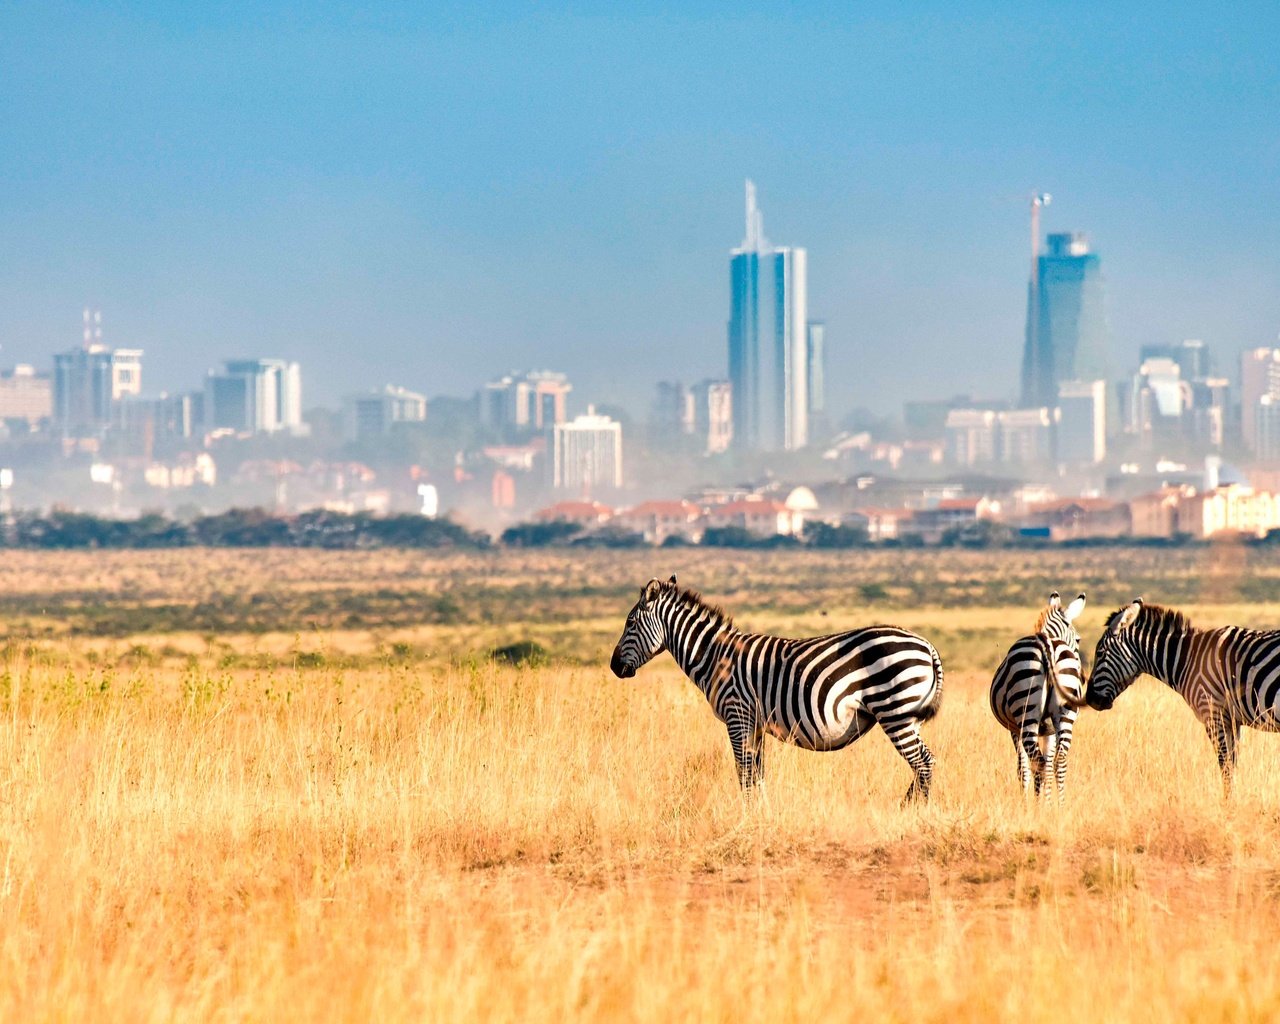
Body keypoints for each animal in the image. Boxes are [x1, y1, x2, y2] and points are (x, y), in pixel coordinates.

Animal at [604, 576, 947, 798]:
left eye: (630, 623)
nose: (613, 667)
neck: (714, 656)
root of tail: (927, 645)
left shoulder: (737, 715)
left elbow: (743, 773)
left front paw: (746, 816)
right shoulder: (754, 723)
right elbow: (757, 775)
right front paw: (762, 812)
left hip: (894, 711)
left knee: (923, 763)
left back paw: (911, 811)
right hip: (907, 716)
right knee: (925, 762)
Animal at [983, 588, 1085, 793]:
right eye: (1078, 639)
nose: (1084, 678)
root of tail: (1048, 645)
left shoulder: (1015, 729)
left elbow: (1023, 769)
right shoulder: (1050, 730)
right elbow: (1047, 764)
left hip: (1026, 711)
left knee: (1037, 762)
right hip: (1064, 714)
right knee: (1058, 761)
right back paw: (1060, 801)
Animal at [1085, 596, 1280, 793]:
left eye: (1100, 653)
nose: (1090, 699)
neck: (1189, 660)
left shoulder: (1212, 712)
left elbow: (1225, 766)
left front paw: (1228, 800)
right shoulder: (1231, 719)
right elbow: (1232, 763)